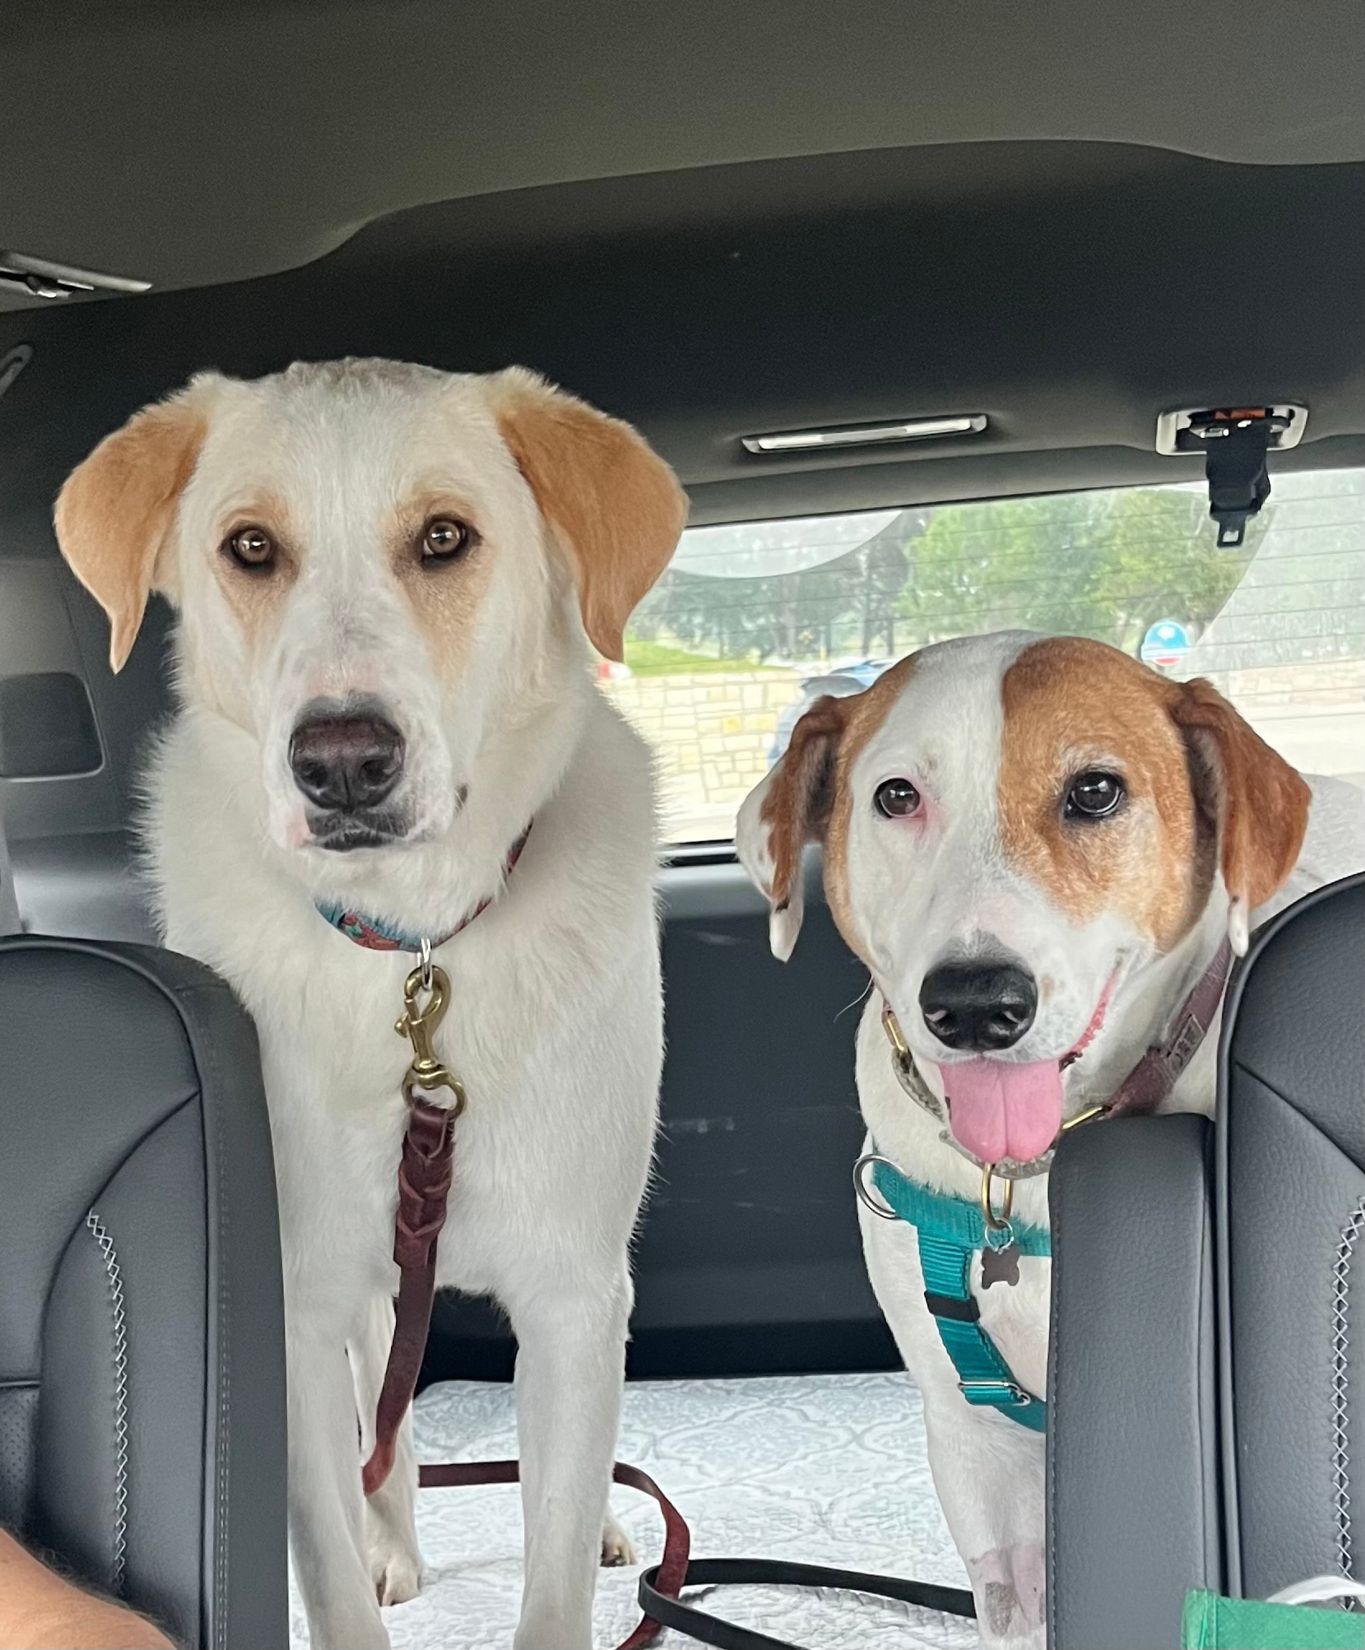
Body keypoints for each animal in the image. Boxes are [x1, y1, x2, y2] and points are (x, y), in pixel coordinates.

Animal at [57, 361, 689, 1650]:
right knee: (382, 1432)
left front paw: (582, 1536)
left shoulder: (575, 1292)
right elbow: (334, 1560)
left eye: (445, 538)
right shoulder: (292, 1308)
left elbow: (555, 1561)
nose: (342, 761)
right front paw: (371, 1566)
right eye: (250, 548)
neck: (411, 957)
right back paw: (397, 1540)